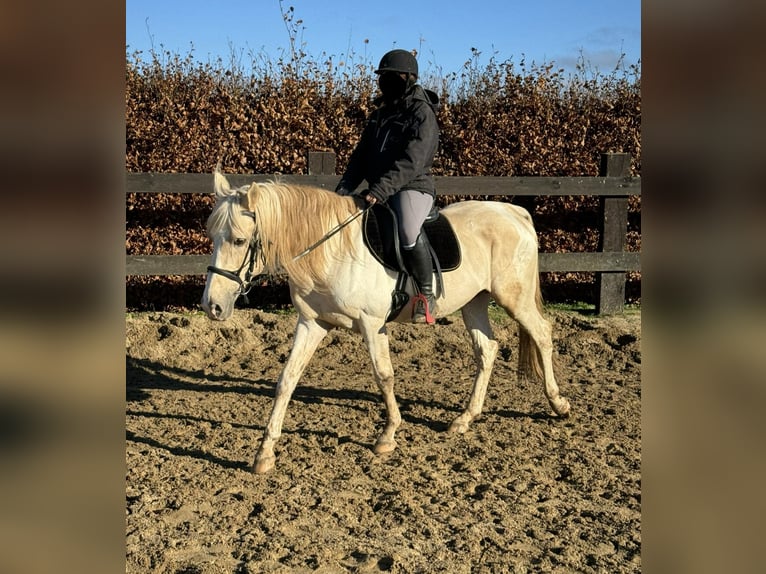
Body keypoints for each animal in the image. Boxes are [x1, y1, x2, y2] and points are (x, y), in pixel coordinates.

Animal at [201, 169, 572, 474]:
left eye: (239, 240)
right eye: (213, 238)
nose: (212, 306)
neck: (331, 251)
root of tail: (512, 212)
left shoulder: (371, 323)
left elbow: (384, 376)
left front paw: (388, 436)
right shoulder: (311, 323)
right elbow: (286, 380)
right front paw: (264, 453)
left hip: (514, 298)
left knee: (542, 334)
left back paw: (558, 403)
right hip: (474, 303)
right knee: (488, 349)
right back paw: (465, 418)